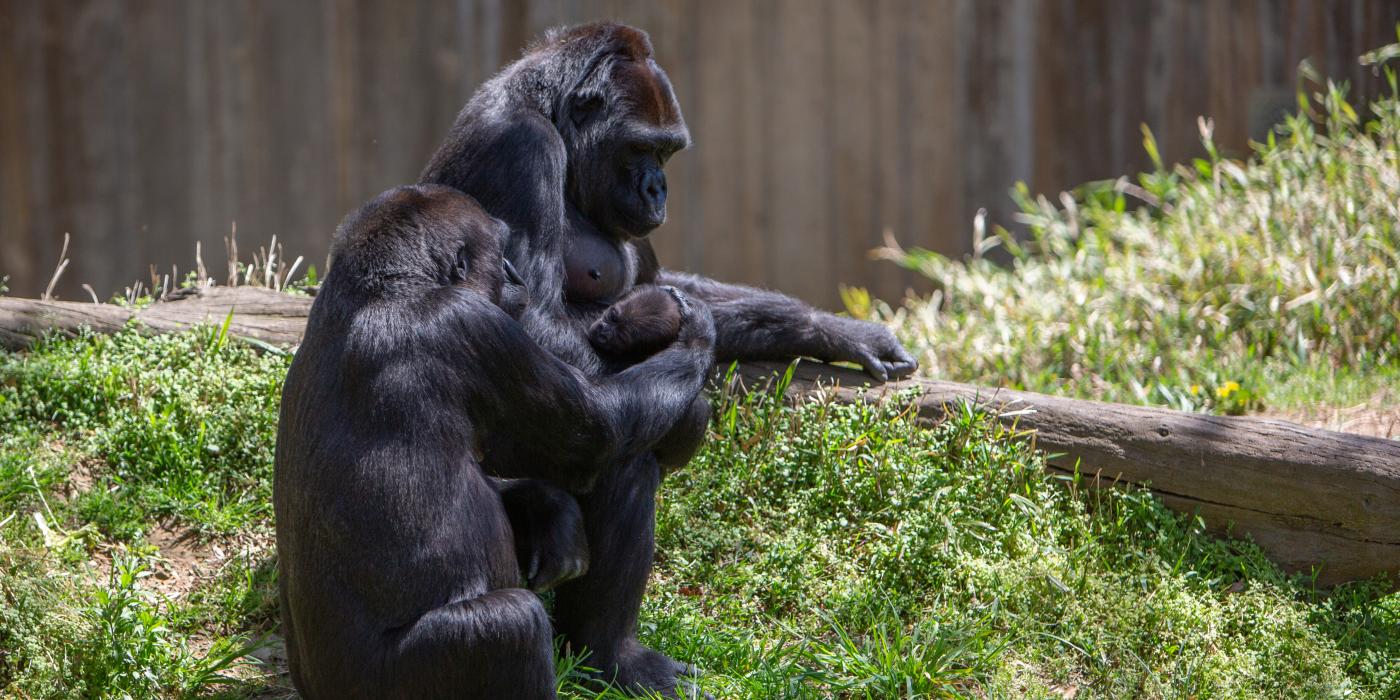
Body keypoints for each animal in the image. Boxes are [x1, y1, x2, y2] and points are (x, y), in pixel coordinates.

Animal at [273, 183, 716, 697]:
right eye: (499, 250)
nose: (513, 274)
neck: (384, 289)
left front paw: (551, 512)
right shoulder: (473, 327)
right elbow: (596, 433)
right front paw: (697, 335)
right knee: (512, 621)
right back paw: (611, 657)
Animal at [414, 21, 918, 694]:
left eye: (668, 153)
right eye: (639, 149)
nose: (658, 190)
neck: (553, 118)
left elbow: (664, 285)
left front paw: (834, 330)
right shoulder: (518, 148)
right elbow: (534, 321)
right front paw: (688, 372)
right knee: (621, 453)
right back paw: (607, 654)